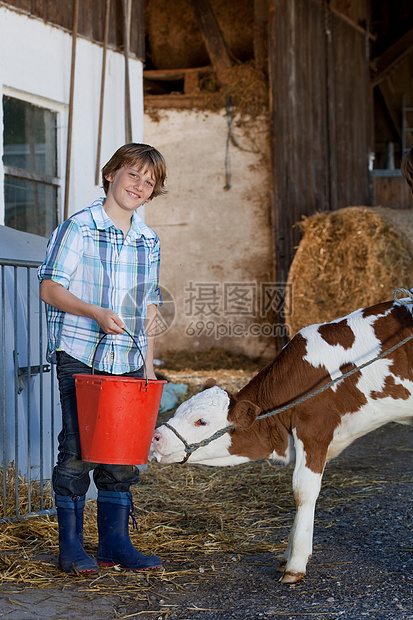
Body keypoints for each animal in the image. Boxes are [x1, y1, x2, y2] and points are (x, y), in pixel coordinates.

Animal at [150, 300, 412, 580]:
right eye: (179, 410)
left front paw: (296, 563)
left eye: (202, 421)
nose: (156, 436)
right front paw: (288, 554)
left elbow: (303, 491)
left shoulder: (314, 430)